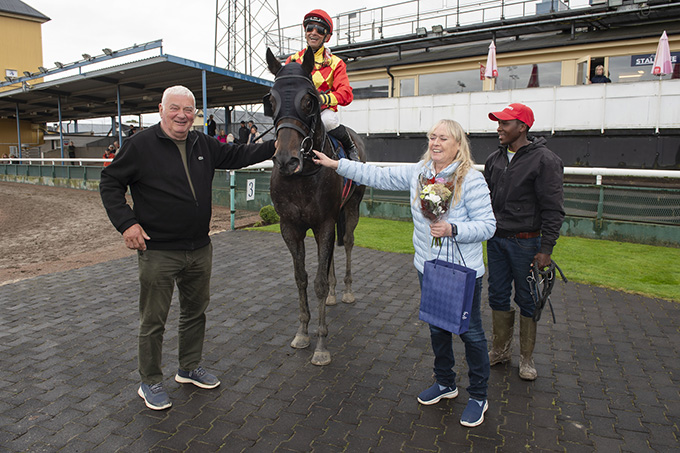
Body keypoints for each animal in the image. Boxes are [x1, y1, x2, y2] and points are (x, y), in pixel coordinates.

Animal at [264, 47, 366, 364]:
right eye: (271, 100)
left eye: (309, 100)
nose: (286, 160)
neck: (303, 176)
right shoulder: (290, 227)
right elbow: (301, 279)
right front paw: (302, 333)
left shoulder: (324, 223)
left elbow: (318, 282)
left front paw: (321, 345)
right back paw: (334, 294)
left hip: (351, 207)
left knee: (348, 243)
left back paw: (345, 290)